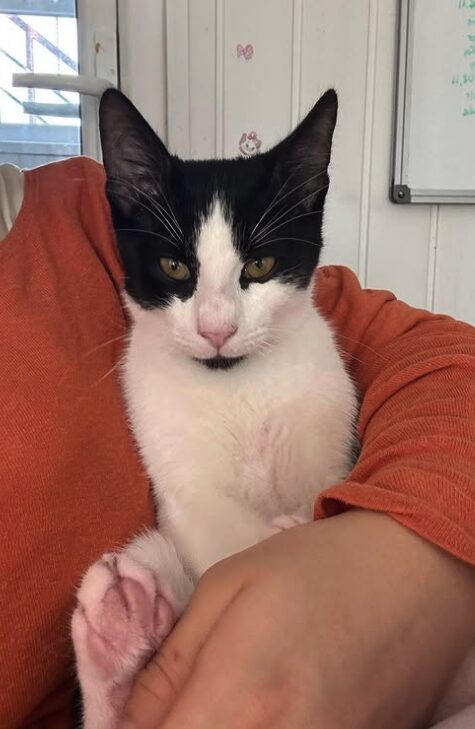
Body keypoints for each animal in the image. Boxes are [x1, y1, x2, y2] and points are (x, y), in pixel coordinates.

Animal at [72, 88, 358, 724]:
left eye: (260, 266)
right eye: (175, 266)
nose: (217, 329)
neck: (237, 390)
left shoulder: (332, 443)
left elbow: (328, 493)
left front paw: (297, 523)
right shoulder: (183, 483)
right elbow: (224, 539)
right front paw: (274, 533)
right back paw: (120, 630)